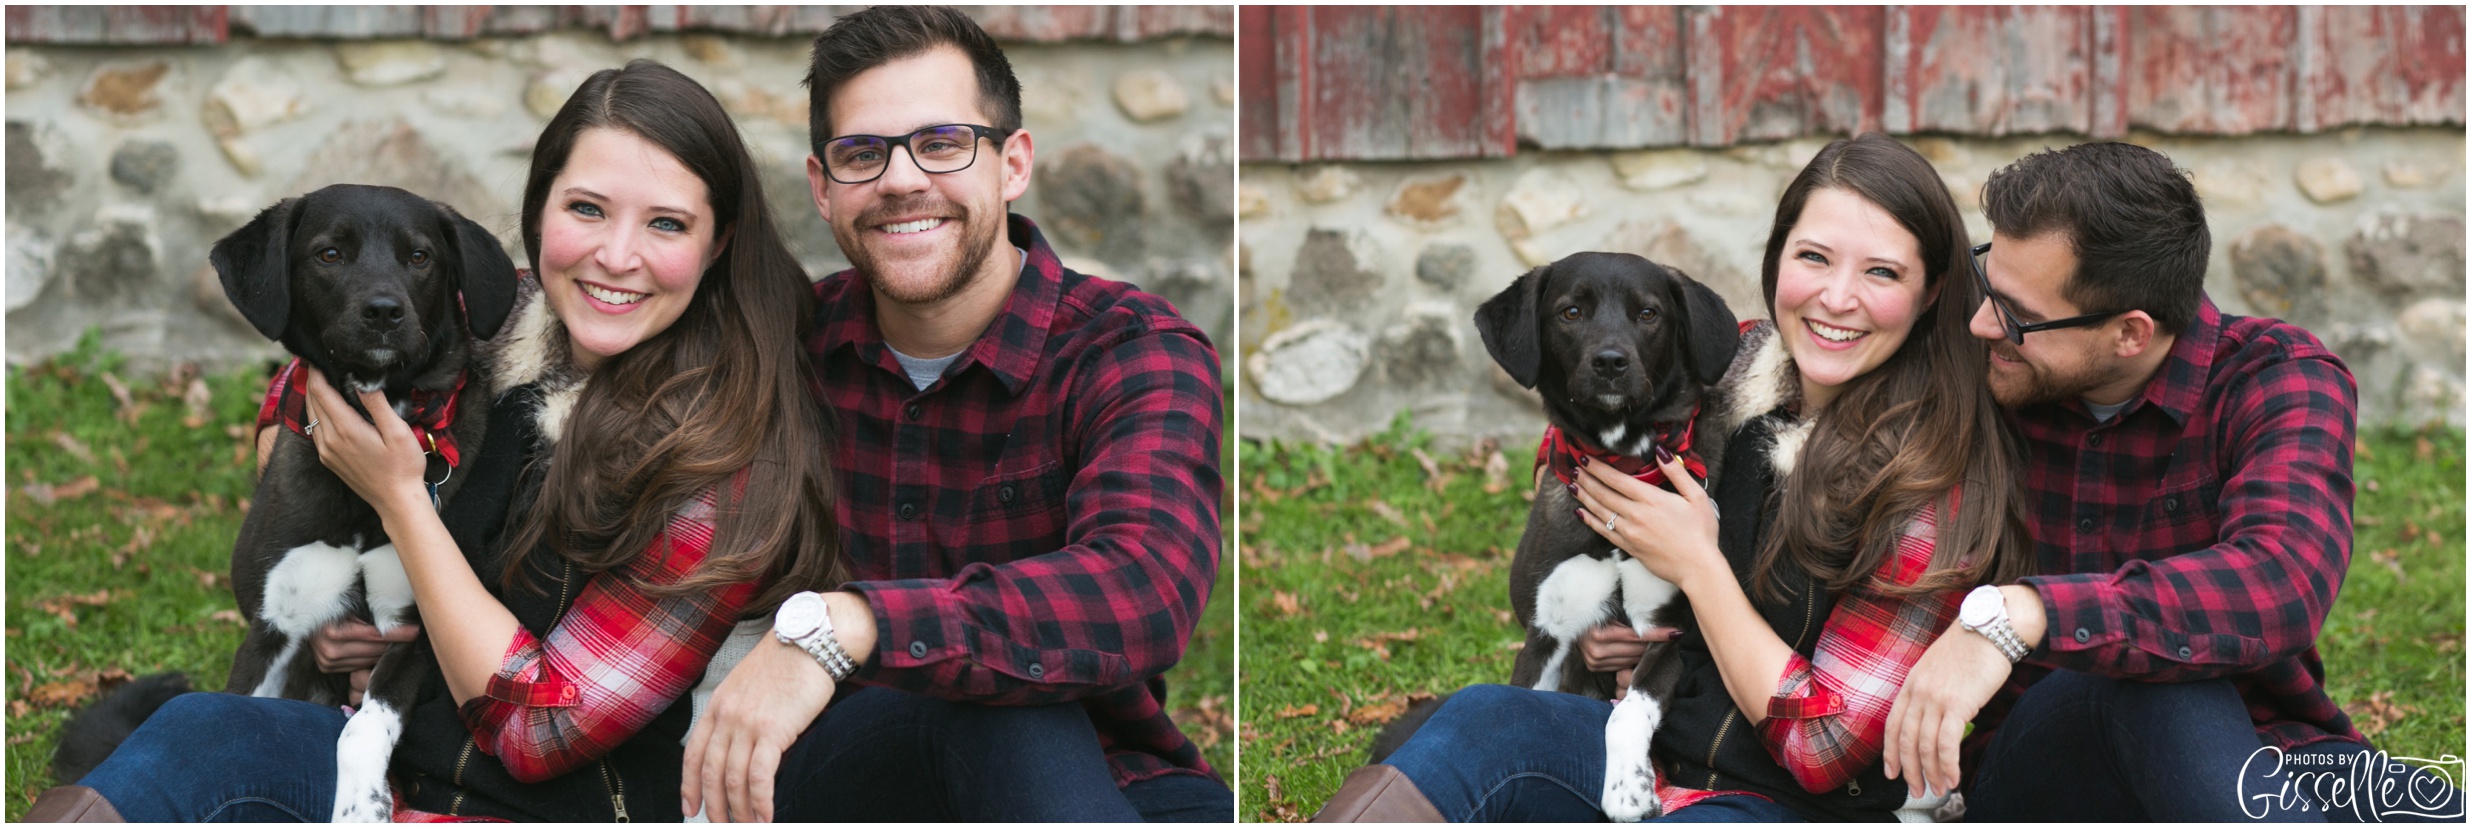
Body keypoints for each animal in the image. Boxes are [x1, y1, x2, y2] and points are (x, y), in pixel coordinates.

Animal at [53, 182, 518, 825]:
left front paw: (362, 805)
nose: (383, 311)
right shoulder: (272, 629)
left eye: (420, 257)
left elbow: (362, 727)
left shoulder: (416, 632)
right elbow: (232, 710)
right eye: (329, 254)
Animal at [1482, 253, 1739, 825]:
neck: (1622, 463)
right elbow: (1523, 703)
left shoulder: (1672, 636)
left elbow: (1627, 712)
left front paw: (1629, 790)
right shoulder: (1544, 636)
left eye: (1648, 313)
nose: (1610, 363)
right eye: (1571, 312)